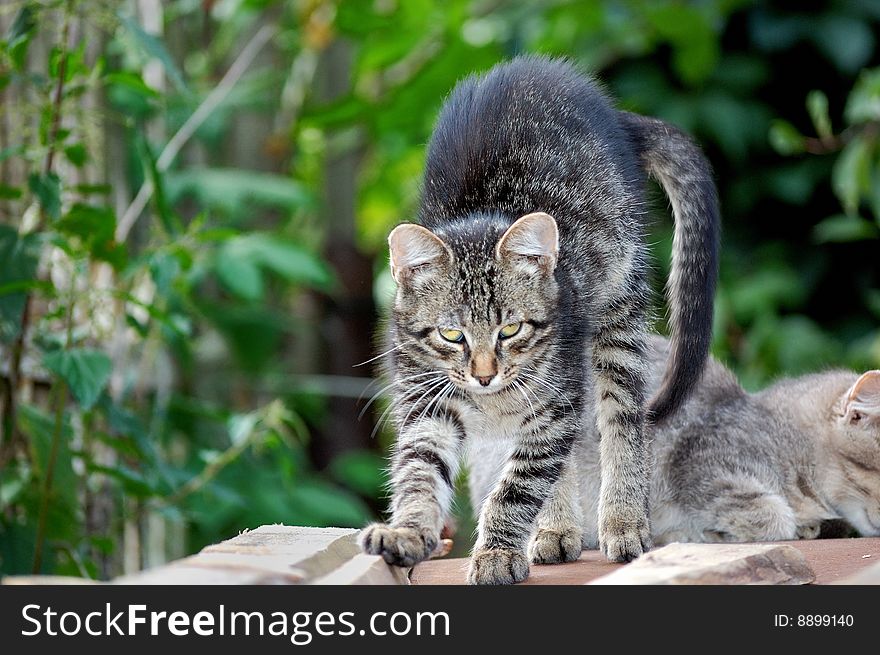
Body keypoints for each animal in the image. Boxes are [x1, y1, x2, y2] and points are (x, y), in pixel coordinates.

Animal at [360, 56, 720, 588]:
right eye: (452, 334)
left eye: (511, 330)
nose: (483, 374)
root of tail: (611, 113)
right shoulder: (428, 405)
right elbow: (419, 472)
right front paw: (406, 531)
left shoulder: (555, 400)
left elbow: (518, 485)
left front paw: (495, 551)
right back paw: (555, 529)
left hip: (619, 305)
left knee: (622, 417)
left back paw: (623, 520)